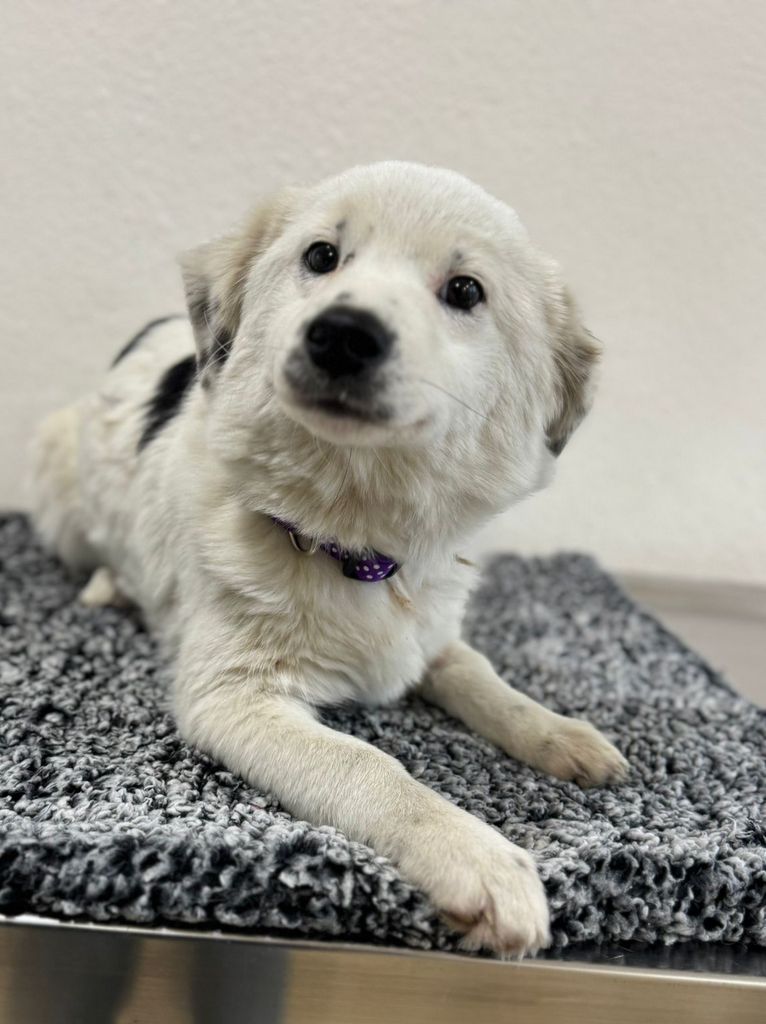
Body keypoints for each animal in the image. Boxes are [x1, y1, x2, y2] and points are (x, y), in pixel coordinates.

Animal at [30, 161, 628, 955]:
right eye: (321, 256)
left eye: (466, 291)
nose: (343, 335)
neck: (351, 540)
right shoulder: (231, 696)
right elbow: (368, 764)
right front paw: (478, 858)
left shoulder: (431, 634)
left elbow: (484, 679)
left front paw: (561, 734)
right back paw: (110, 586)